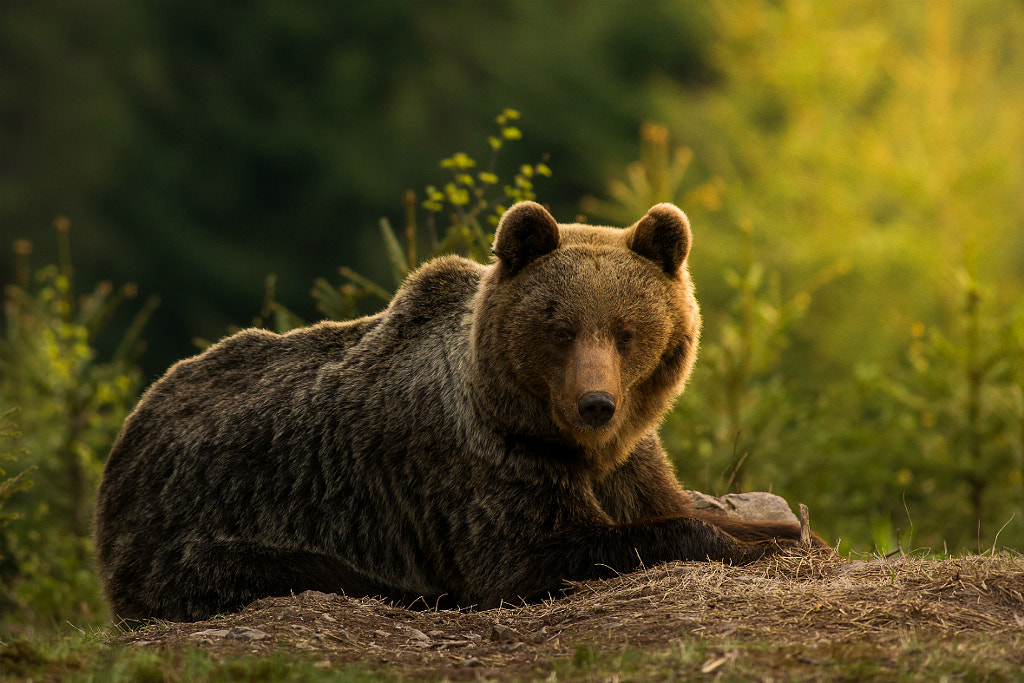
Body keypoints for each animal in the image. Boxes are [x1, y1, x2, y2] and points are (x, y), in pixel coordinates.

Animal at [94, 200, 823, 622]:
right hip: (202, 531)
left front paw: (779, 523)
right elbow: (543, 553)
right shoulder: (479, 471)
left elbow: (665, 498)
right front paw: (743, 540)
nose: (595, 403)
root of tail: (131, 432)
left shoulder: (626, 463)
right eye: (560, 327)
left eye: (627, 330)